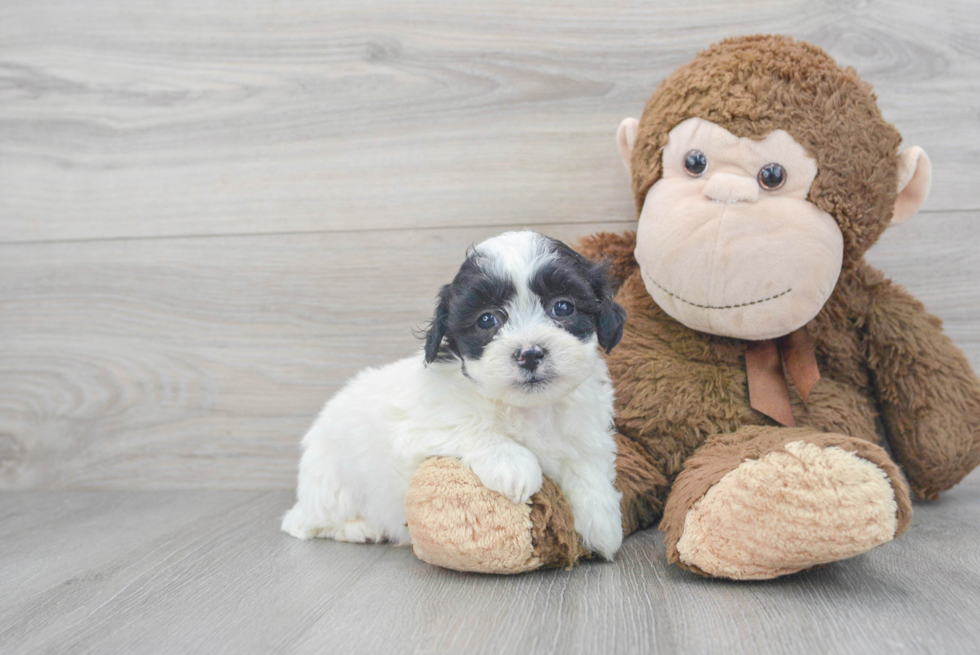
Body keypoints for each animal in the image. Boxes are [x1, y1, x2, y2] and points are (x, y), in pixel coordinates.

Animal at [280, 229, 628, 560]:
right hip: (331, 486)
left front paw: (603, 525)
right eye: (487, 319)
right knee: (307, 524)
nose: (529, 353)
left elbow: (588, 469)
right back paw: (359, 529)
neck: (527, 409)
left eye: (563, 307)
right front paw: (514, 465)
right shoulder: (422, 427)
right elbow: (468, 424)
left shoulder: (586, 434)